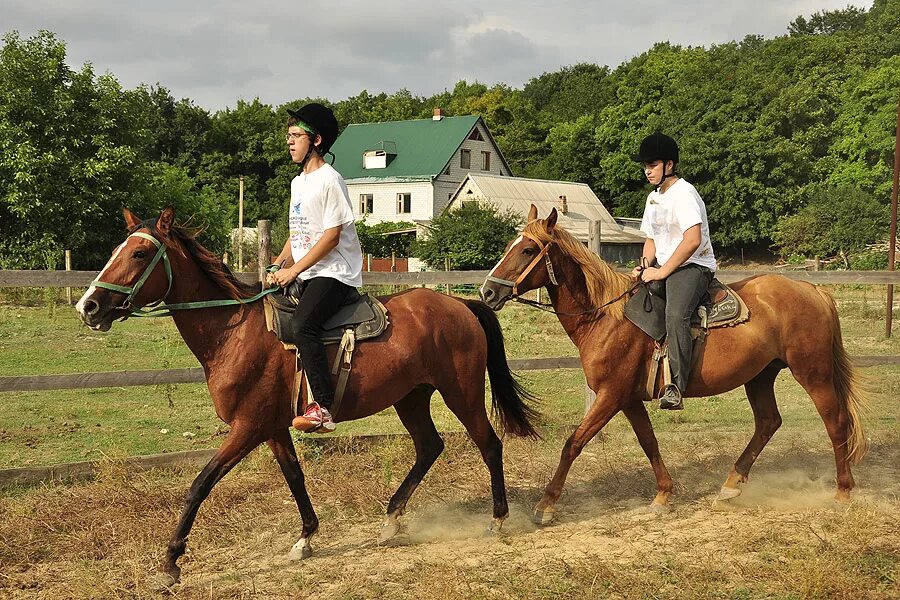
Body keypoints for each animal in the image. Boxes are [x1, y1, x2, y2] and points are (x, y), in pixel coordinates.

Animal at [77, 207, 536, 584]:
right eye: (119, 250)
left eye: (139, 254)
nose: (89, 306)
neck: (234, 331)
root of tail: (460, 305)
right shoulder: (272, 427)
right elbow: (294, 477)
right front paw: (306, 539)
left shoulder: (247, 427)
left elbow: (200, 484)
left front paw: (171, 562)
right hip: (411, 397)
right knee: (429, 447)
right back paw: (391, 520)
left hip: (461, 392)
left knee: (489, 444)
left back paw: (497, 519)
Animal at [482, 206, 868, 524]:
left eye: (527, 250)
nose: (487, 292)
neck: (605, 315)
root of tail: (813, 290)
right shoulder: (628, 399)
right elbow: (648, 442)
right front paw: (664, 495)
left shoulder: (610, 396)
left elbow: (573, 444)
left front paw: (546, 505)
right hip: (760, 375)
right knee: (768, 423)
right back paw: (731, 485)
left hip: (813, 373)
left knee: (836, 422)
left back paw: (843, 490)